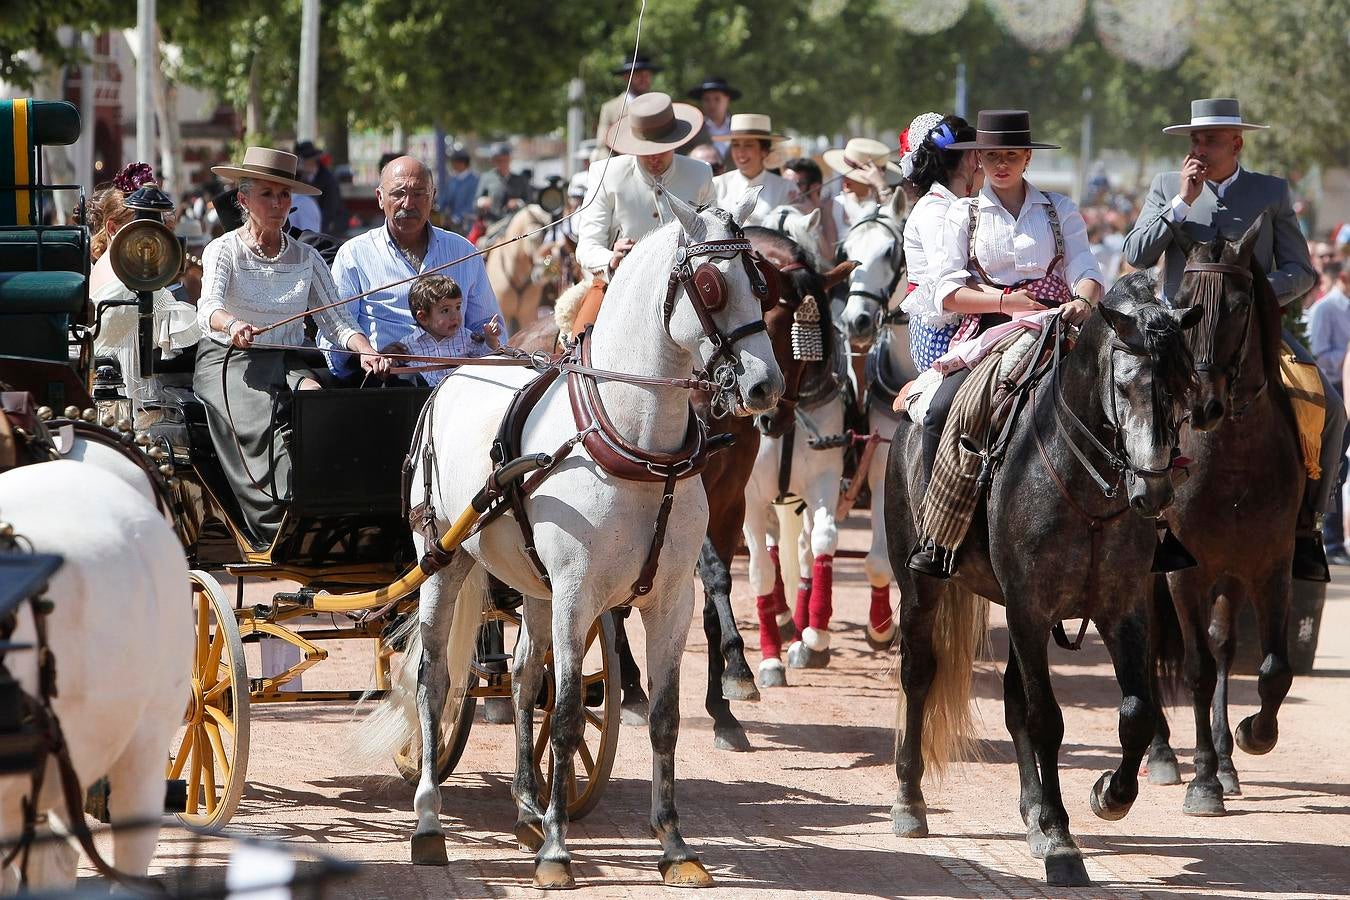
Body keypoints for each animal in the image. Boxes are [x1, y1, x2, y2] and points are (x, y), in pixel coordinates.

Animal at [361, 190, 783, 885]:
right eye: (710, 286)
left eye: (762, 282)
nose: (763, 387)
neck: (639, 449)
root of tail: (453, 374)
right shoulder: (577, 594)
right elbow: (562, 718)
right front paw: (558, 850)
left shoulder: (669, 600)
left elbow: (662, 718)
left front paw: (673, 844)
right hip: (444, 563)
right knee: (433, 681)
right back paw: (429, 822)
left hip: (533, 585)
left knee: (523, 678)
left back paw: (528, 806)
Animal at [885, 275, 1204, 885]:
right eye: (1124, 386)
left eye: (1182, 387)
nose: (1152, 491)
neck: (1083, 489)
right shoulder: (1030, 610)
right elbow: (1045, 719)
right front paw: (1060, 840)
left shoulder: (1121, 609)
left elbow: (1135, 711)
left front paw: (1108, 795)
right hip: (920, 588)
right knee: (919, 675)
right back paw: (910, 802)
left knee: (1013, 699)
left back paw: (1032, 812)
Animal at [1139, 218, 1306, 814]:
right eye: (1184, 303)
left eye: (1239, 305)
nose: (1205, 404)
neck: (1232, 456)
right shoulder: (1184, 572)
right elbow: (1196, 670)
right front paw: (1203, 780)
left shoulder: (1272, 567)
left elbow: (1273, 667)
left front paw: (1253, 735)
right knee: (1154, 641)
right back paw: (1164, 754)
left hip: (1231, 578)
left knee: (1223, 644)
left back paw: (1229, 761)